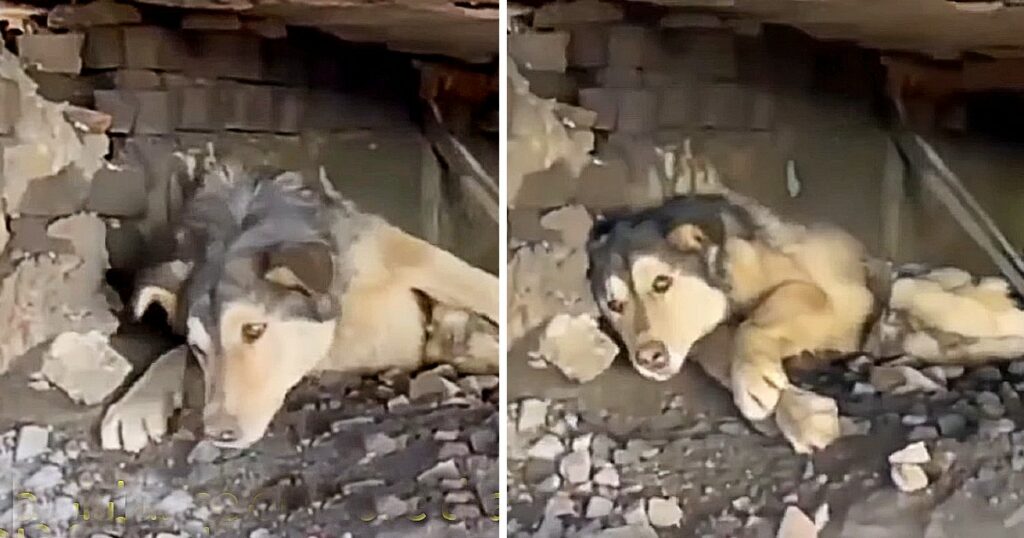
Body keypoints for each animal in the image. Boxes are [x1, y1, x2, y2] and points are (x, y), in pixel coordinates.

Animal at [97, 163, 497, 448]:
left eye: (254, 330)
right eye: (199, 348)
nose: (216, 434)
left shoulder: (407, 254)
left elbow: (478, 285)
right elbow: (172, 355)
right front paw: (135, 405)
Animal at [589, 188, 1024, 424]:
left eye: (662, 283)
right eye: (615, 305)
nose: (648, 358)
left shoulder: (839, 299)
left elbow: (764, 314)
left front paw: (753, 380)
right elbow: (724, 340)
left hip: (916, 290)